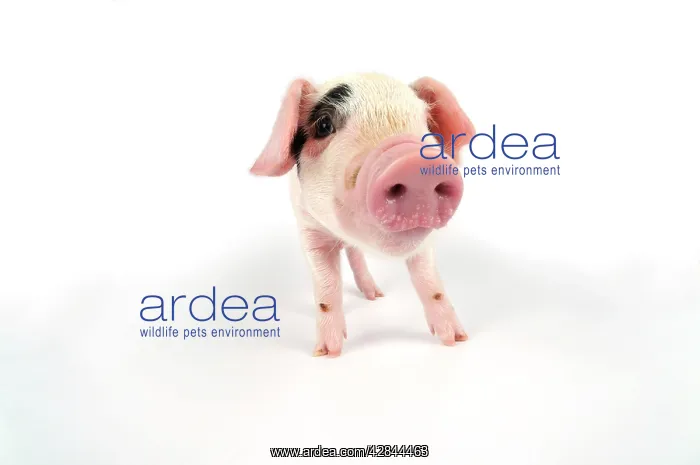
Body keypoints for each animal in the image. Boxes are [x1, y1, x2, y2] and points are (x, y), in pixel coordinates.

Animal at [250, 73, 476, 357]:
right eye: (324, 125)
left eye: (426, 123)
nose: (413, 163)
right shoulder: (309, 228)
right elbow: (326, 287)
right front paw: (327, 353)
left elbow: (430, 282)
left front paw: (457, 340)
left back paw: (375, 295)